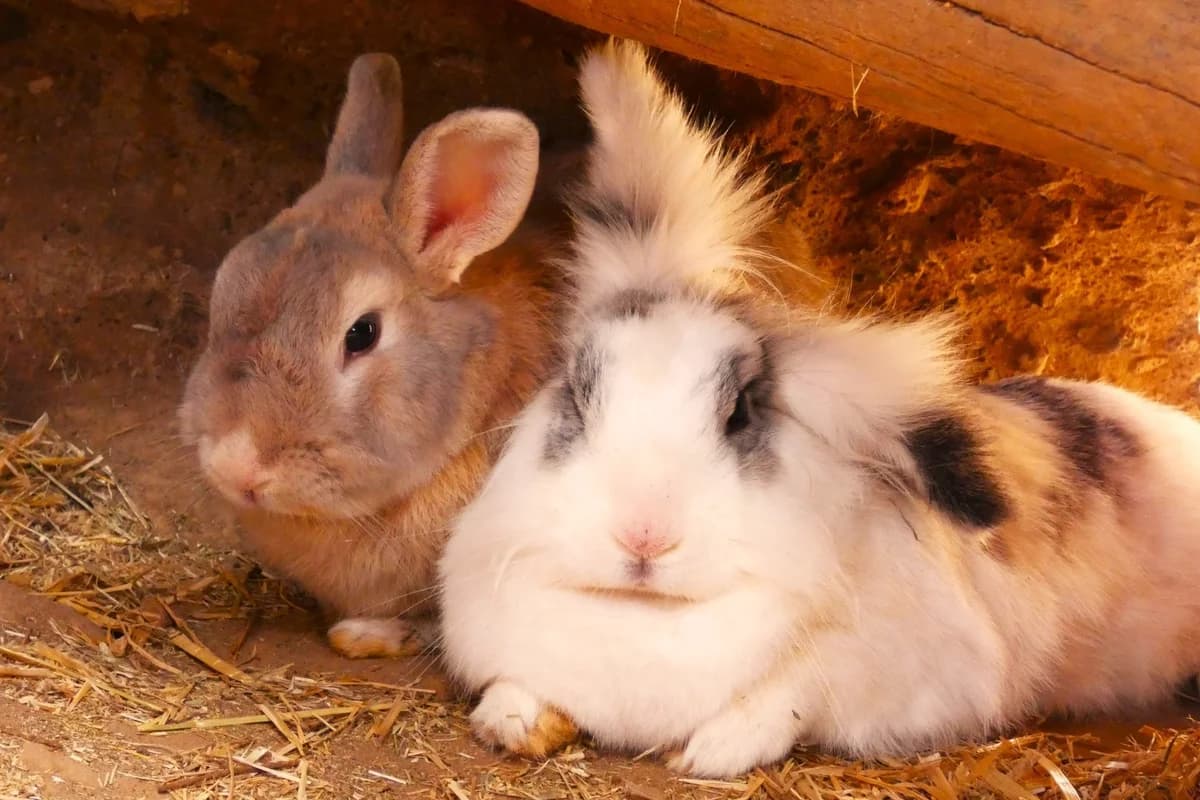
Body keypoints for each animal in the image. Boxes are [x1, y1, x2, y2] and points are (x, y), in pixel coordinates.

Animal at [437, 39, 1200, 778]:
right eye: (577, 392)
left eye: (740, 413)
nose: (643, 537)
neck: (647, 618)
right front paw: (512, 720)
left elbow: (791, 698)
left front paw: (711, 752)